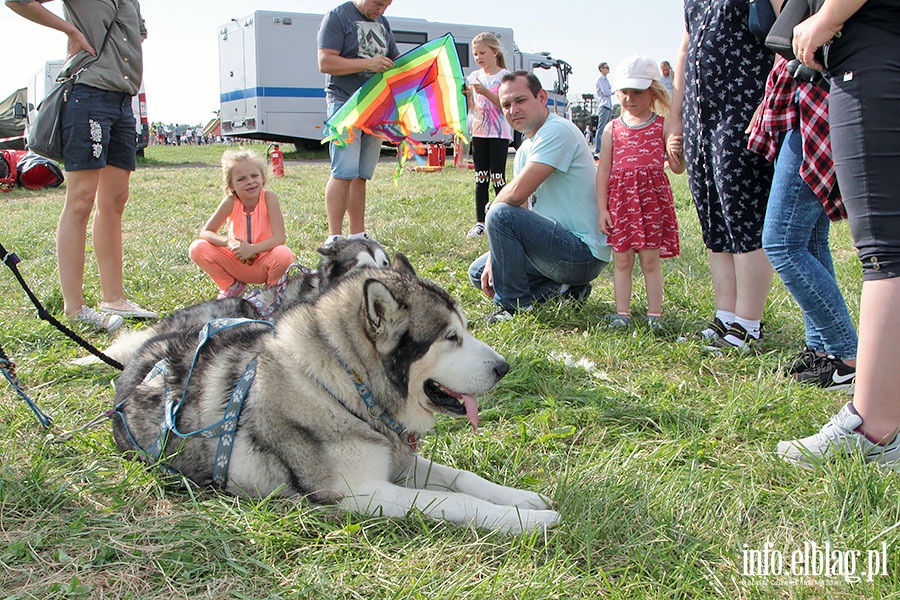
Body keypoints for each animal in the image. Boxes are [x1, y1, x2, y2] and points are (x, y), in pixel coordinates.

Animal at [110, 264, 556, 536]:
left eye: (464, 329)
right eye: (451, 337)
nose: (503, 367)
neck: (345, 390)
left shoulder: (399, 459)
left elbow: (465, 478)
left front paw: (522, 499)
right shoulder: (361, 492)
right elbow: (454, 501)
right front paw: (525, 519)